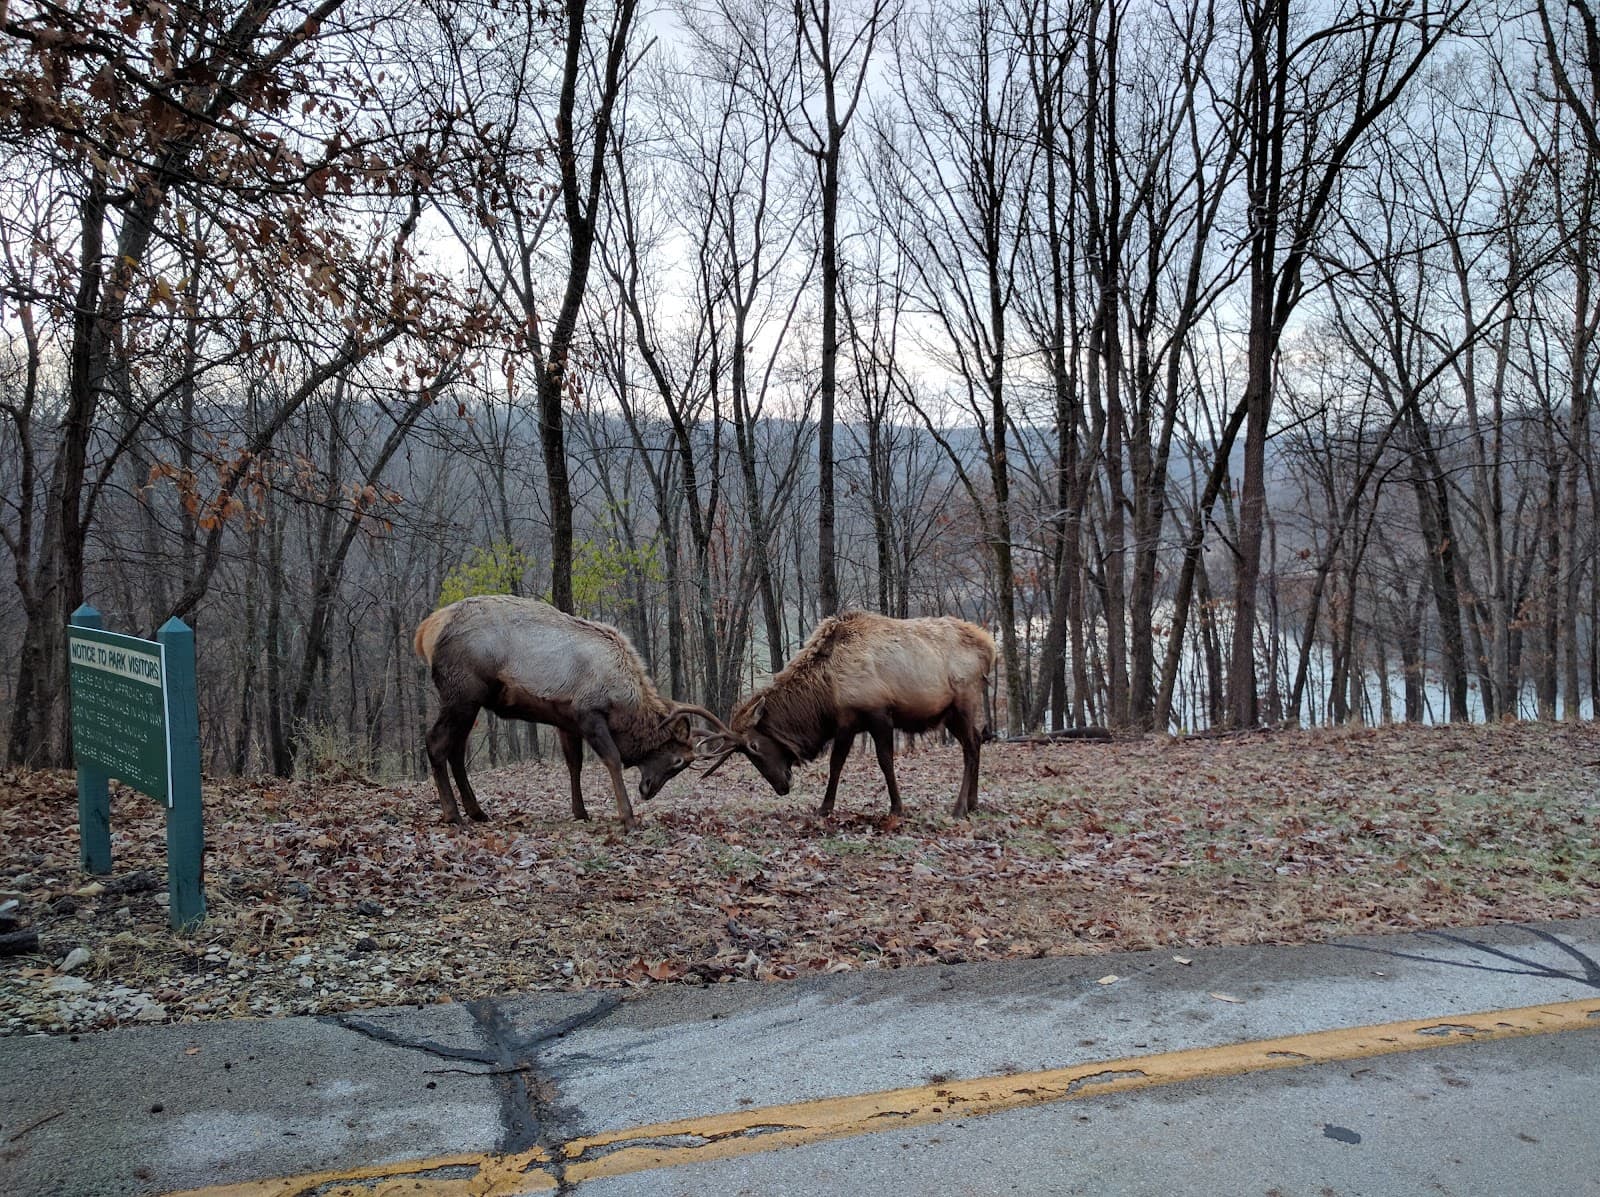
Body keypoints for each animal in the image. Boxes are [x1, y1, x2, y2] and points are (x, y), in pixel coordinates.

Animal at [414, 594, 732, 828]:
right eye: (678, 761)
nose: (648, 790)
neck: (624, 702)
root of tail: (426, 630)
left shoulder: (566, 720)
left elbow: (574, 763)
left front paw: (581, 812)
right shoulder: (588, 713)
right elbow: (612, 759)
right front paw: (627, 817)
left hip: (470, 702)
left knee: (456, 750)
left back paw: (477, 811)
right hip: (462, 694)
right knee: (436, 742)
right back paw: (453, 815)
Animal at [700, 611, 996, 818]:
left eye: (754, 746)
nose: (782, 786)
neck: (826, 694)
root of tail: (990, 648)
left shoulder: (878, 713)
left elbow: (883, 761)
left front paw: (896, 807)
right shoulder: (847, 722)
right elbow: (837, 763)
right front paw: (825, 807)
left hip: (964, 701)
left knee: (971, 746)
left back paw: (959, 807)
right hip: (950, 713)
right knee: (976, 740)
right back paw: (973, 803)